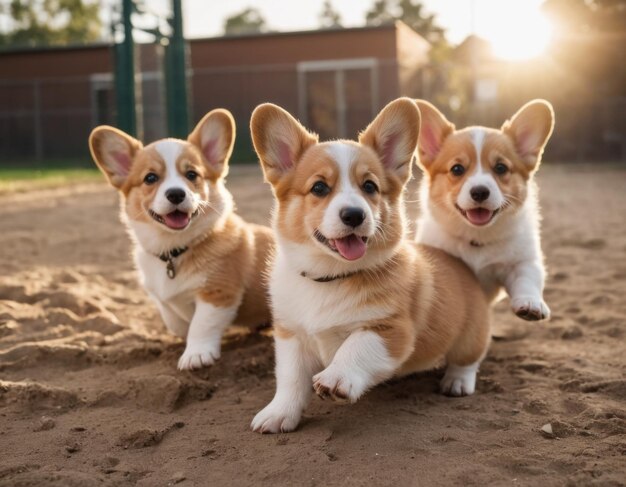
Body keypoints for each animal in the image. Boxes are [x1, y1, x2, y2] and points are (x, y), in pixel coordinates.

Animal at [88, 109, 272, 370]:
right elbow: (175, 321)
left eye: (191, 174)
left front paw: (196, 355)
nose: (176, 194)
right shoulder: (161, 298)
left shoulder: (218, 293)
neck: (174, 250)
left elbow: (201, 325)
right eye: (150, 178)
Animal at [247, 96, 488, 434]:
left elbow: (356, 345)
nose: (354, 215)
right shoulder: (291, 335)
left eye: (370, 187)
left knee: (467, 360)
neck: (331, 277)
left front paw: (336, 377)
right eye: (319, 188)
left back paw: (457, 382)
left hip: (470, 336)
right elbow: (290, 379)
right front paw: (278, 414)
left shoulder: (391, 330)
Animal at [414, 99, 552, 322]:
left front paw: (531, 304)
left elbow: (527, 278)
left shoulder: (523, 261)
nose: (479, 192)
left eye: (501, 168)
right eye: (457, 169)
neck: (477, 237)